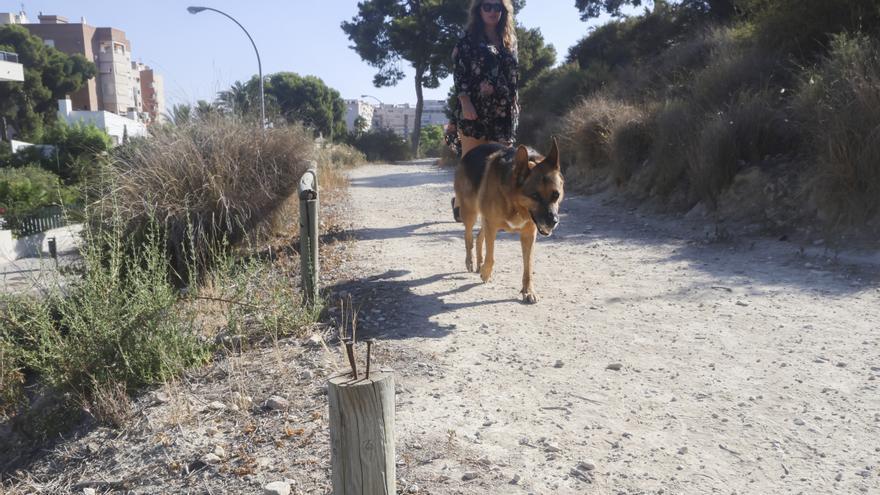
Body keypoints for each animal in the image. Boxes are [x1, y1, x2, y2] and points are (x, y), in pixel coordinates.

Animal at [454, 138, 564, 304]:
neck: (515, 202)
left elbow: (528, 267)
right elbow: (491, 256)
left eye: (556, 195)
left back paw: (479, 262)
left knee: (479, 237)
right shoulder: (492, 226)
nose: (553, 221)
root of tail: (470, 152)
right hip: (470, 213)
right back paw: (471, 262)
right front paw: (486, 273)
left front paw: (528, 291)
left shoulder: (528, 235)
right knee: (468, 237)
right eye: (535, 196)